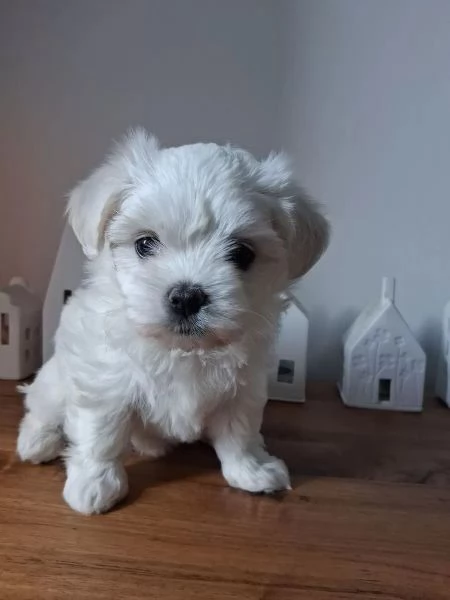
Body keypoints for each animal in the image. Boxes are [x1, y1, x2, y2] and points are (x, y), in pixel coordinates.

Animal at [17, 131, 328, 516]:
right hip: (56, 379)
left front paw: (251, 469)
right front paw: (95, 483)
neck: (182, 349)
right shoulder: (104, 380)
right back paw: (38, 440)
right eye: (144, 244)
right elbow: (101, 432)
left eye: (242, 253)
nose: (186, 297)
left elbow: (240, 431)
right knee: (41, 406)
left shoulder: (242, 387)